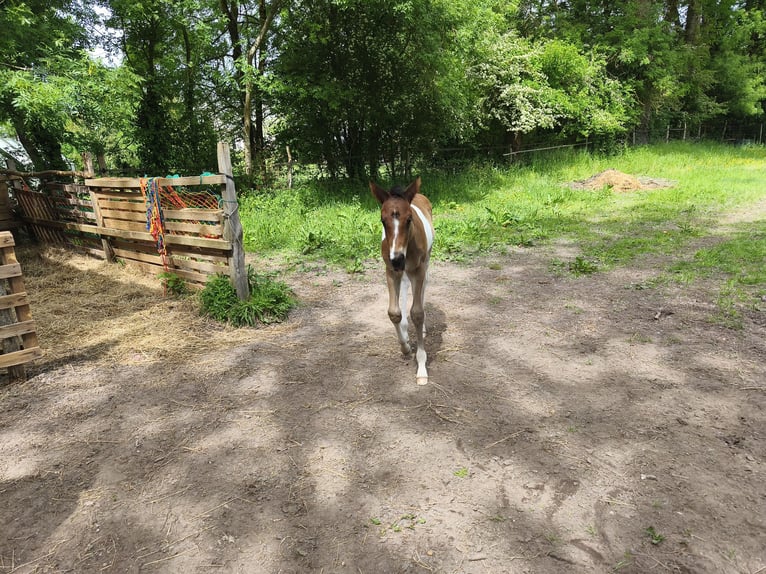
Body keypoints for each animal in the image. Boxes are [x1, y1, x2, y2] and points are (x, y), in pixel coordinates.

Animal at [370, 176, 434, 385]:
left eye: (409, 219)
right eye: (382, 220)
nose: (397, 259)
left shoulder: (418, 269)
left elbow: (418, 313)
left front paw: (421, 368)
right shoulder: (391, 271)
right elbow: (394, 312)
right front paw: (405, 347)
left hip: (424, 263)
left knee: (423, 288)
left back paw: (422, 329)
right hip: (403, 272)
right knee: (406, 288)